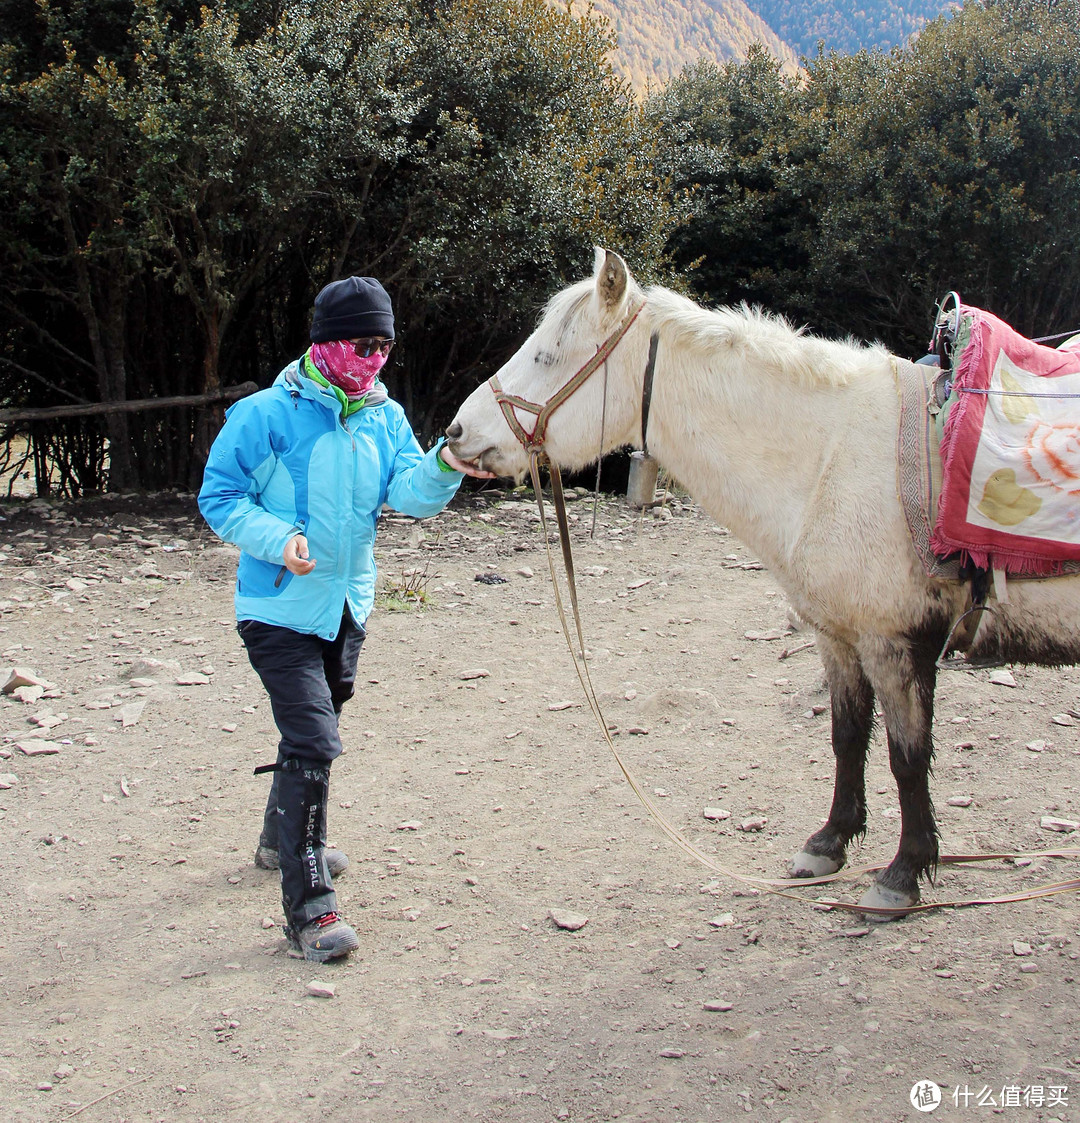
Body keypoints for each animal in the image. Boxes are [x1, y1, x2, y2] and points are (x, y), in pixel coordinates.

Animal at [444, 250, 1077, 916]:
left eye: (547, 356)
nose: (457, 433)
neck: (833, 456)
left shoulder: (894, 642)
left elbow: (907, 756)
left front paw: (902, 873)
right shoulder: (838, 637)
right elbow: (847, 736)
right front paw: (829, 844)